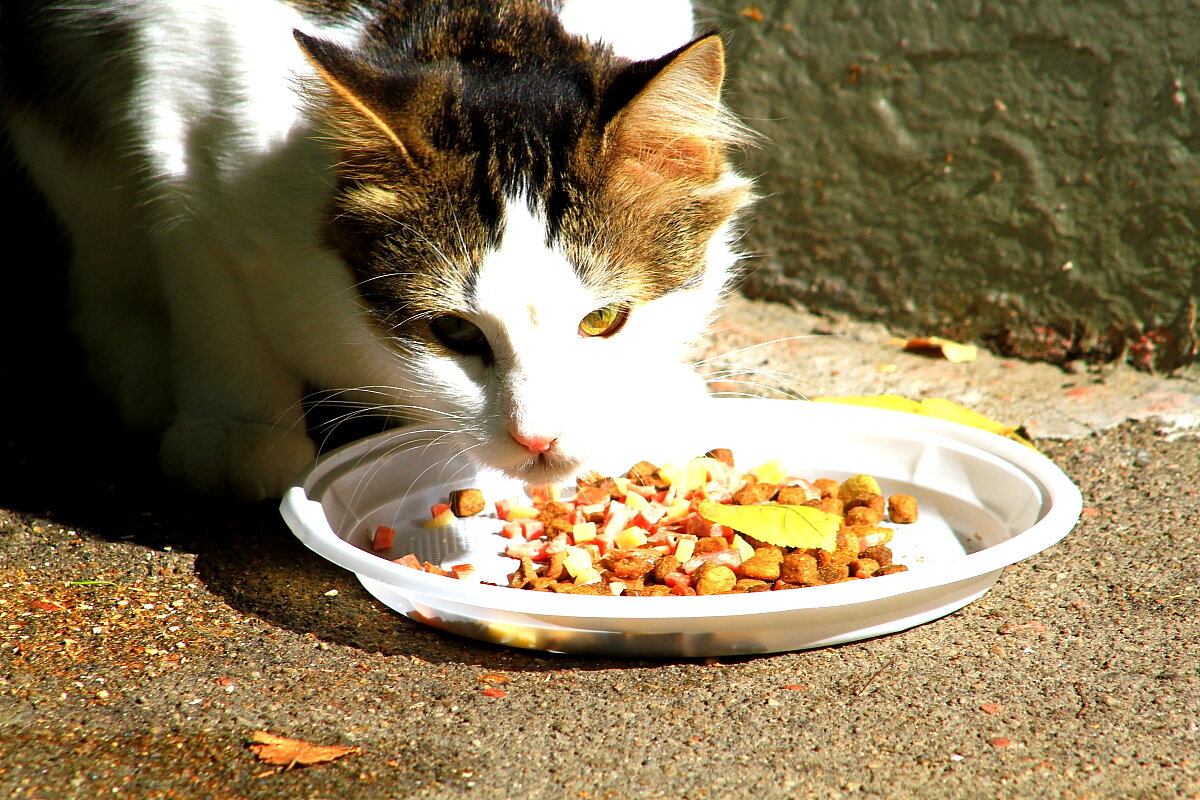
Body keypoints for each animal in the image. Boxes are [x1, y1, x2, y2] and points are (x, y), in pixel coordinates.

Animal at [0, 1, 748, 501]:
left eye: (603, 321)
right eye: (453, 332)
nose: (539, 438)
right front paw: (237, 430)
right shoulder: (180, 115)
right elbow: (211, 284)